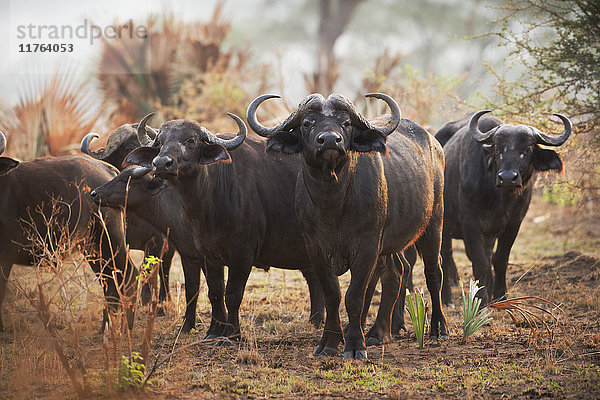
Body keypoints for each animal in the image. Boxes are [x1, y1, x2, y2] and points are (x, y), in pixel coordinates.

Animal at [0, 130, 136, 332]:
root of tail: (108, 169)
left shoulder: (5, 257)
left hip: (111, 239)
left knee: (128, 275)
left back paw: (126, 327)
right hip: (93, 249)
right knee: (109, 282)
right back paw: (106, 327)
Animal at [124, 113, 326, 340]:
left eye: (190, 140)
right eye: (160, 142)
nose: (161, 163)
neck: (211, 199)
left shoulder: (243, 256)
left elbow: (233, 294)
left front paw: (232, 334)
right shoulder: (208, 255)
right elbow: (215, 291)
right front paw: (213, 332)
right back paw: (316, 320)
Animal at [246, 93, 448, 360]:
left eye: (346, 123)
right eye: (307, 123)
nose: (330, 140)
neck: (333, 202)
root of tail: (434, 144)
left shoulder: (367, 246)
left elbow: (355, 296)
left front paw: (354, 345)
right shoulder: (315, 249)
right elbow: (333, 294)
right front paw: (330, 343)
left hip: (434, 221)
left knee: (433, 272)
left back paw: (438, 329)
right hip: (390, 242)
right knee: (396, 273)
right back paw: (377, 332)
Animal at [436, 109, 572, 304]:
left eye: (528, 149)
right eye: (497, 149)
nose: (507, 177)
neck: (500, 198)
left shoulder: (514, 223)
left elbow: (499, 259)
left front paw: (500, 295)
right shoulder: (470, 223)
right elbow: (480, 261)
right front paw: (481, 299)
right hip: (443, 225)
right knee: (445, 257)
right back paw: (446, 298)